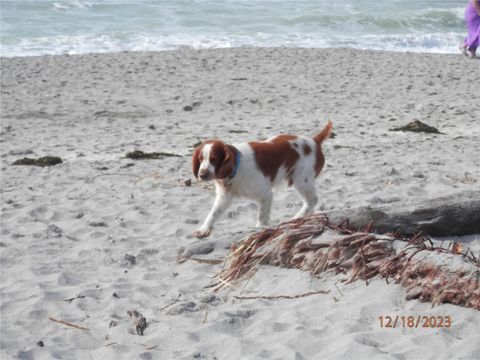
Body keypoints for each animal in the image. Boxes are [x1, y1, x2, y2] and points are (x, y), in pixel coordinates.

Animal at [191, 121, 334, 239]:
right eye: (200, 159)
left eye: (213, 159)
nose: (202, 175)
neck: (236, 168)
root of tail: (314, 141)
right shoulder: (224, 197)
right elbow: (213, 213)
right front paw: (204, 229)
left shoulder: (266, 194)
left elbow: (262, 215)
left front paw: (260, 228)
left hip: (301, 180)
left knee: (312, 200)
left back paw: (298, 216)